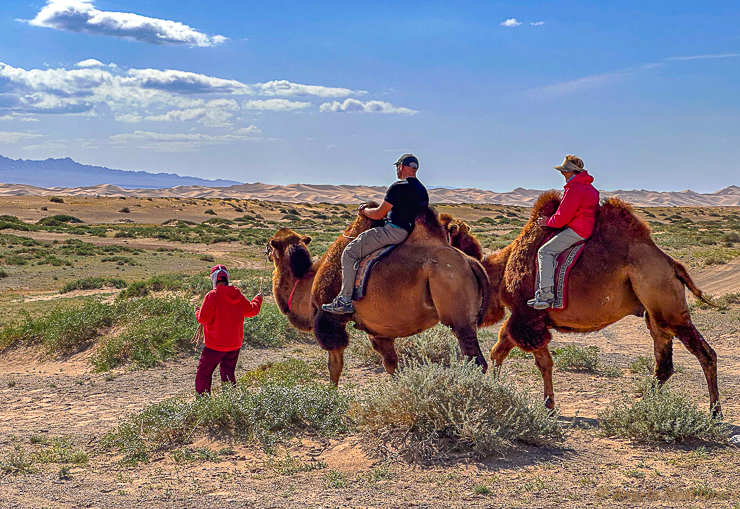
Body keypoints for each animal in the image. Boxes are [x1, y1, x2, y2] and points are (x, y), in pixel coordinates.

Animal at [268, 204, 492, 382]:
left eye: (271, 245)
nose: (267, 252)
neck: (308, 282)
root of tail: (470, 261)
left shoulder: (328, 318)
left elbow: (335, 366)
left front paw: (331, 397)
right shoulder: (379, 330)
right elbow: (392, 365)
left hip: (457, 312)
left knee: (476, 361)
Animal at [448, 192, 720, 414]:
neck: (501, 272)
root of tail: (673, 265)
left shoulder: (528, 316)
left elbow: (540, 362)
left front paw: (548, 406)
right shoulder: (528, 319)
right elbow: (500, 352)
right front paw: (497, 391)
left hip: (664, 300)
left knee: (705, 353)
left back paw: (714, 414)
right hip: (654, 313)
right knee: (664, 361)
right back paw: (642, 406)